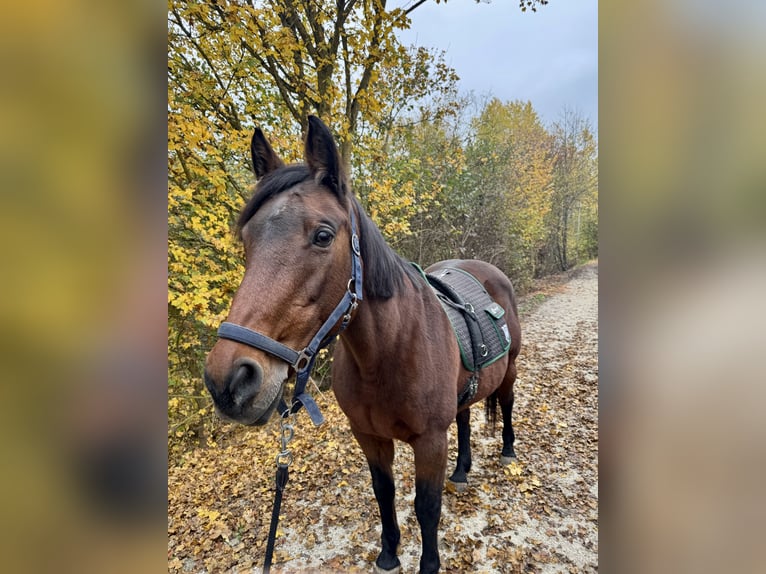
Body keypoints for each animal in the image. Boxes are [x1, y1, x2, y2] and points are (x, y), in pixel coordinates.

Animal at [204, 117, 524, 574]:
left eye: (323, 236)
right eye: (246, 240)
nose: (228, 381)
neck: (386, 354)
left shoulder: (430, 441)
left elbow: (427, 507)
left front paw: (428, 564)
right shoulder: (369, 436)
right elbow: (383, 492)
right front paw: (389, 553)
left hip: (510, 370)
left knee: (508, 404)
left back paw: (508, 452)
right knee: (464, 418)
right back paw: (462, 471)